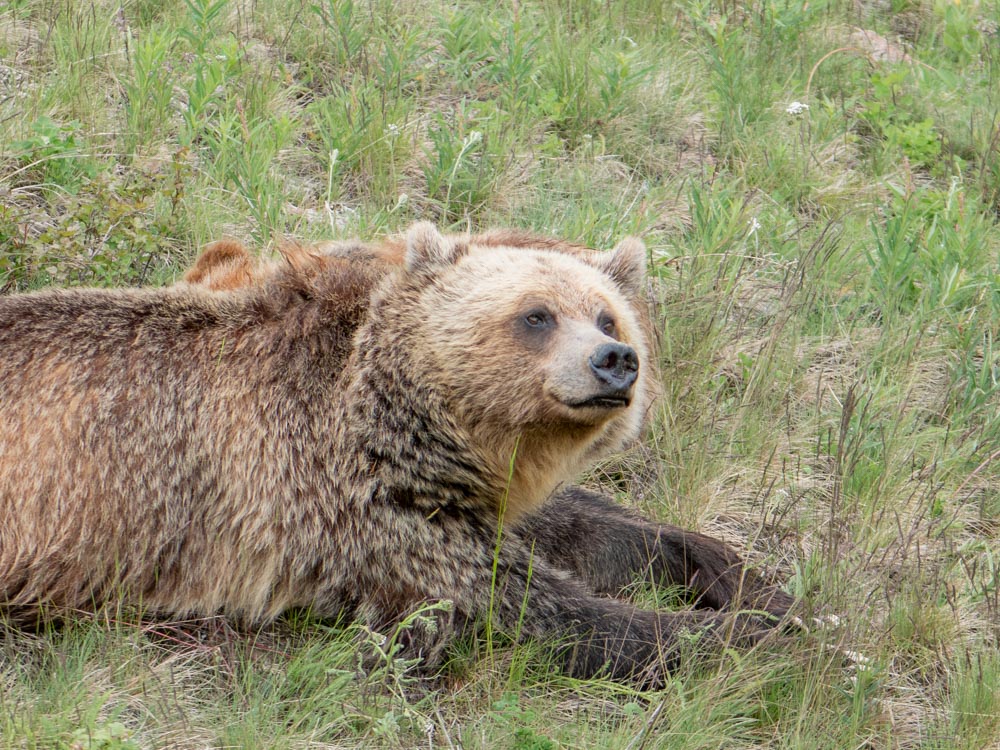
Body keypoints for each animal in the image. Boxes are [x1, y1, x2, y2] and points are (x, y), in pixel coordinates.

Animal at [0, 222, 786, 685]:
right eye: (536, 316)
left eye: (607, 316)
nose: (615, 362)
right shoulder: (363, 504)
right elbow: (550, 612)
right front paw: (766, 638)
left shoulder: (455, 490)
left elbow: (584, 526)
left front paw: (751, 582)